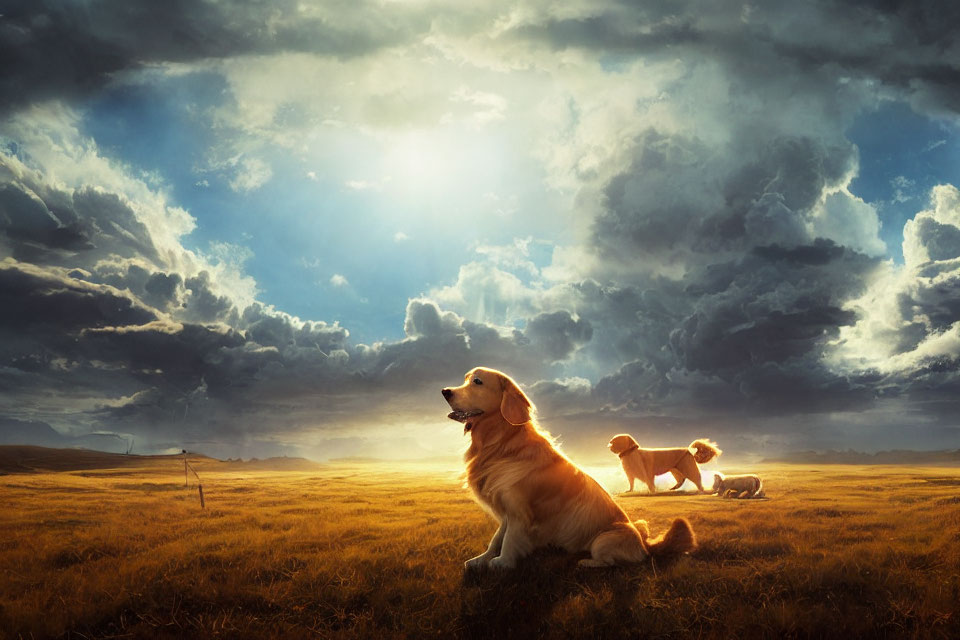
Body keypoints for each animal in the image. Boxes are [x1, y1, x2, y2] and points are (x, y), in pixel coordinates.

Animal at [442, 370, 696, 568]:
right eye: (466, 379)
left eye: (477, 381)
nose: (445, 391)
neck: (502, 443)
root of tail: (645, 546)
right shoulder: (505, 511)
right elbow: (496, 539)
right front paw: (480, 559)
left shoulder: (519, 511)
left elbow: (509, 540)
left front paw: (502, 563)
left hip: (603, 540)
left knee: (609, 562)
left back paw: (585, 562)